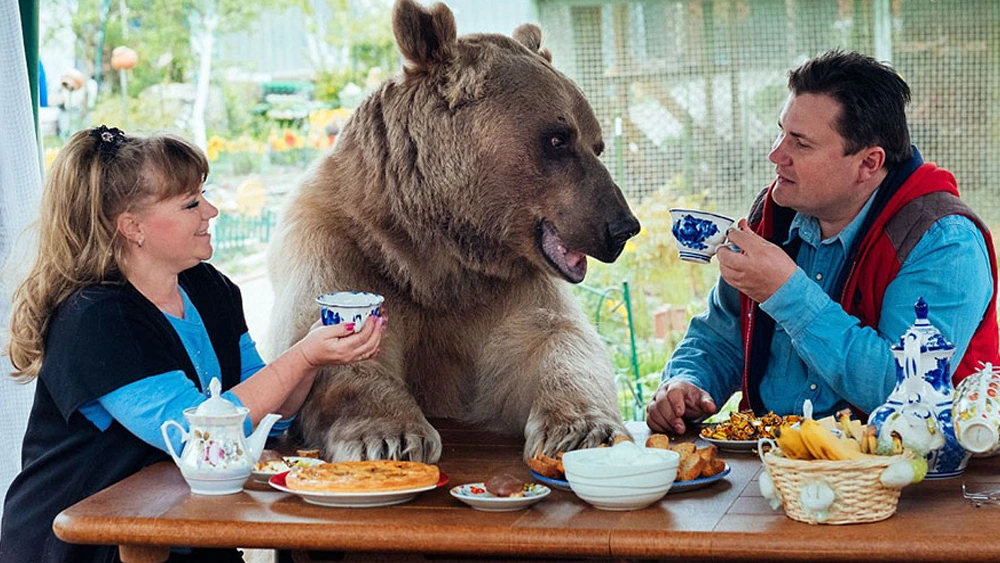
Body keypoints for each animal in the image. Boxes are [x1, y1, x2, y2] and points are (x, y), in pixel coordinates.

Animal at [266, 0, 640, 462]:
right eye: (558, 138)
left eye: (596, 143)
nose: (622, 227)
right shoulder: (342, 246)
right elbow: (331, 346)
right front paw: (390, 437)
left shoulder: (504, 289)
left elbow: (554, 342)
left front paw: (584, 429)